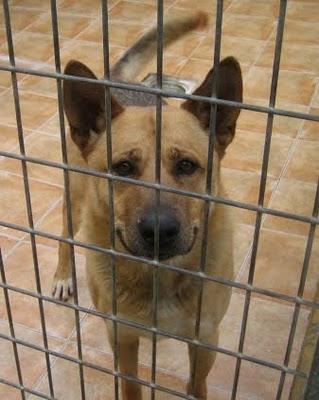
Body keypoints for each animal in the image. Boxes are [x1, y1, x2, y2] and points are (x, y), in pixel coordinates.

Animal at [52, 10, 242, 400]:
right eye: (123, 167)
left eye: (186, 165)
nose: (159, 231)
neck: (159, 275)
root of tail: (117, 81)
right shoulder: (122, 338)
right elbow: (131, 384)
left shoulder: (205, 341)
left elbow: (196, 384)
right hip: (74, 201)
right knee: (64, 236)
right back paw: (63, 275)